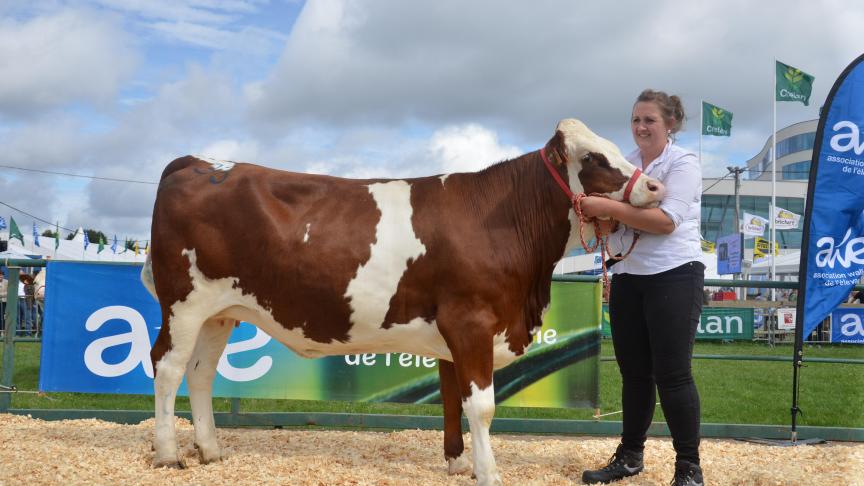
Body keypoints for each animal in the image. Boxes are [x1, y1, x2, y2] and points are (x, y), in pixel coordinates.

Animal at [145, 118, 664, 486]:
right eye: (594, 157)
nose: (655, 187)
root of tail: (198, 162)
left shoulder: (453, 330)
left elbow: (453, 397)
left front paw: (459, 464)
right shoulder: (472, 321)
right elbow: (482, 406)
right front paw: (489, 472)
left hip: (221, 313)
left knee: (201, 373)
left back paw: (211, 450)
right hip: (184, 305)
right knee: (167, 368)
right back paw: (169, 455)